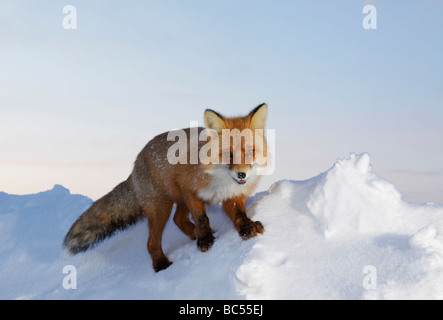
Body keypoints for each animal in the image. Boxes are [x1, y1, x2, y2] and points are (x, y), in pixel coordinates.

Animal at [63, 103, 268, 272]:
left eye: (251, 152)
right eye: (228, 154)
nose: (242, 175)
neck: (221, 180)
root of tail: (136, 163)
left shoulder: (233, 195)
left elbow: (239, 214)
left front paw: (247, 227)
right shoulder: (189, 190)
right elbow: (202, 218)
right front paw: (205, 239)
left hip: (174, 203)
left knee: (178, 220)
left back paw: (193, 236)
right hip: (161, 208)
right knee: (152, 242)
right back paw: (161, 263)